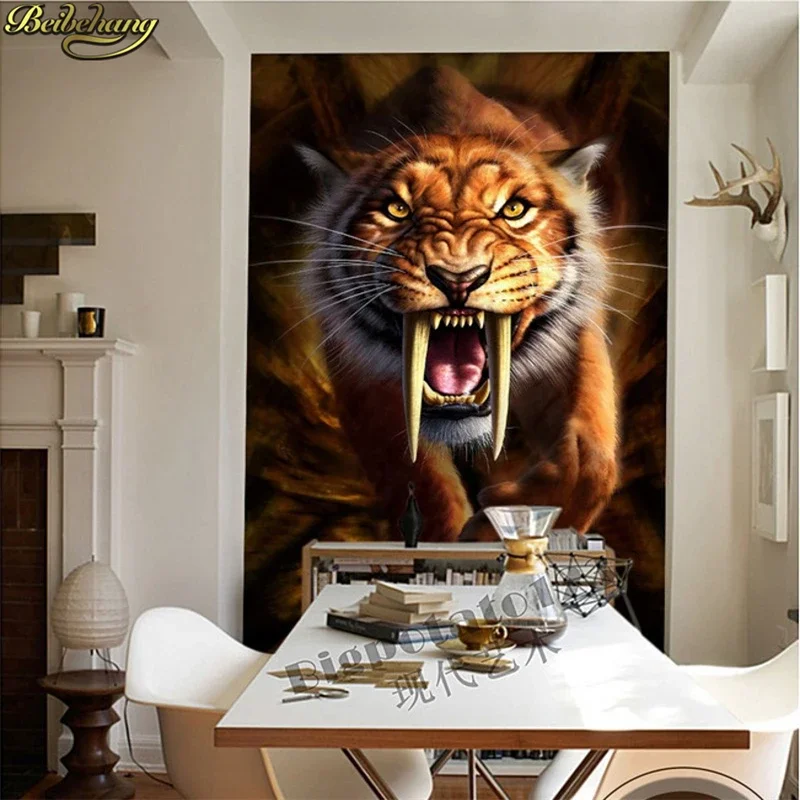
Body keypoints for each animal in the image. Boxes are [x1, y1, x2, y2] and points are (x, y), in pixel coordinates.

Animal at [296, 66, 618, 540]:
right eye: (397, 210)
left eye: (513, 209)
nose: (458, 278)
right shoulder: (364, 378)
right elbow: (421, 484)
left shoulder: (572, 338)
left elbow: (588, 460)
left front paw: (497, 523)